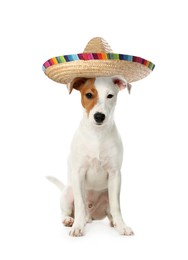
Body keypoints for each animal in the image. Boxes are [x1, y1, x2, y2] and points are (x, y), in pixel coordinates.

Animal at [47, 75, 134, 236]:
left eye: (110, 95)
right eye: (88, 95)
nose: (99, 116)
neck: (97, 135)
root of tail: (91, 216)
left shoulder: (115, 174)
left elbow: (116, 206)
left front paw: (121, 225)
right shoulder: (78, 172)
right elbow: (80, 204)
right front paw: (77, 227)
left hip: (106, 194)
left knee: (109, 211)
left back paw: (111, 222)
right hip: (68, 192)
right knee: (67, 211)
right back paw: (70, 220)